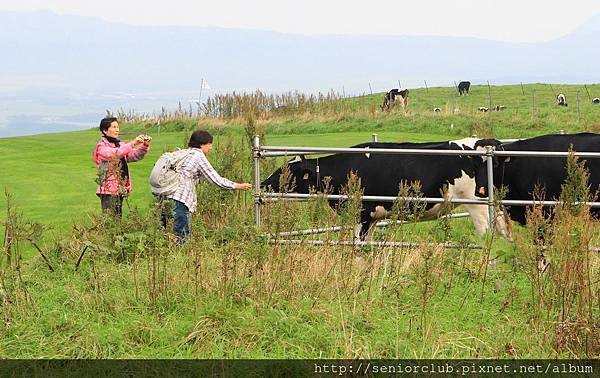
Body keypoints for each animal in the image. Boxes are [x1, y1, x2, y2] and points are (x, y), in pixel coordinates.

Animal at [260, 139, 508, 239]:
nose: (262, 185)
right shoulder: (373, 217)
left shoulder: (361, 214)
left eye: (284, 172)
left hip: (477, 204)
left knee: (487, 232)